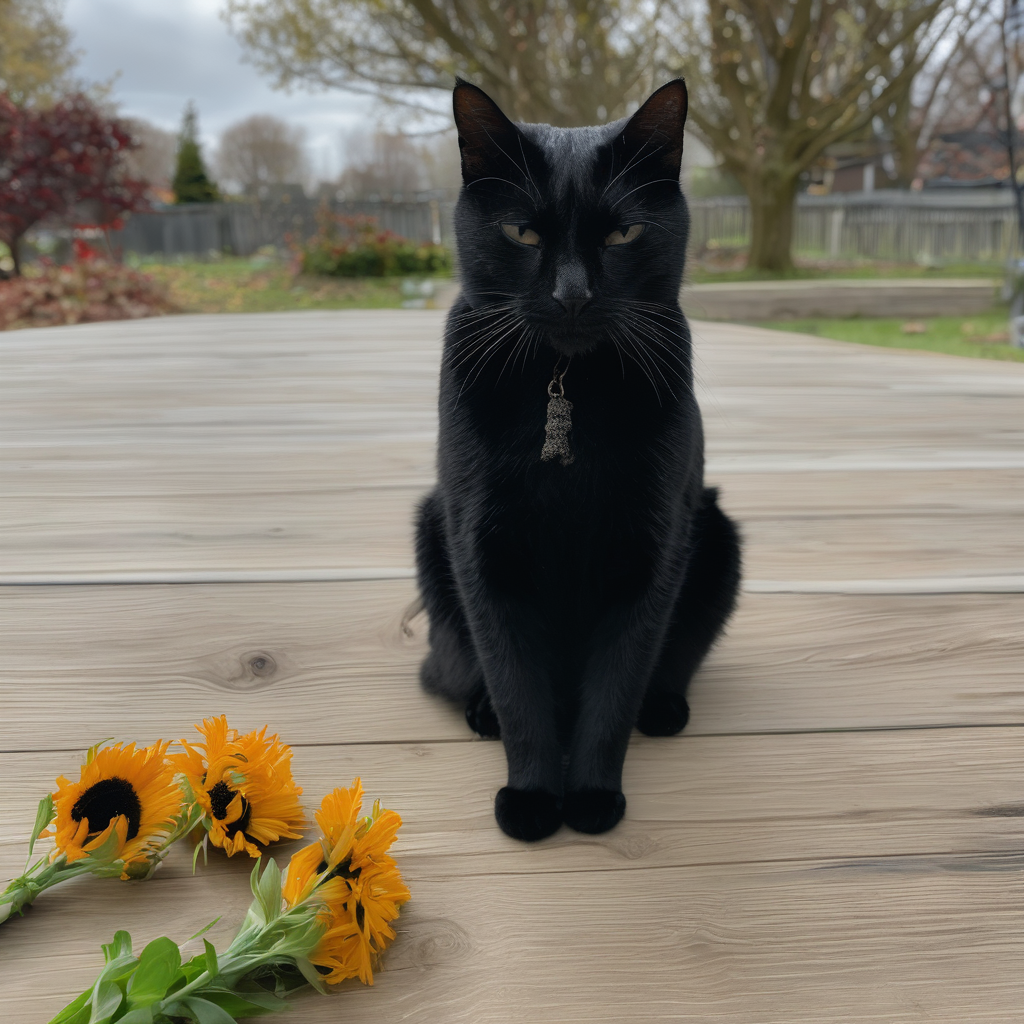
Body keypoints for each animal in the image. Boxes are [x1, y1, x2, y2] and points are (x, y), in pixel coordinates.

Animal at [411, 79, 741, 843]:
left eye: (622, 234)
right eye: (522, 234)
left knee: (668, 666)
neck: (566, 383)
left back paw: (664, 709)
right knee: (461, 669)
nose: (571, 295)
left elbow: (615, 687)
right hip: (432, 535)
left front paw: (591, 795)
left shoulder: (653, 548)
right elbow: (516, 687)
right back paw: (479, 712)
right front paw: (533, 797)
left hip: (717, 536)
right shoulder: (481, 547)